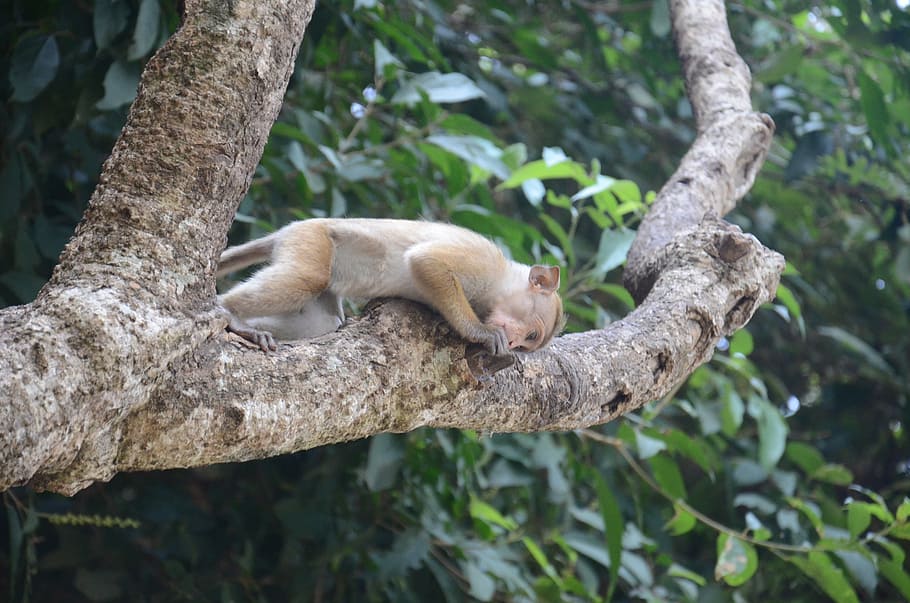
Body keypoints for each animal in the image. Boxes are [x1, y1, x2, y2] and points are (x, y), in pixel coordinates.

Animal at [216, 218, 563, 355]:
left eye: (528, 343)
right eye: (532, 335)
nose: (516, 343)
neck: (501, 285)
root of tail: (289, 228)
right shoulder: (484, 264)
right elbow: (428, 261)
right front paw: (480, 332)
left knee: (325, 320)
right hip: (311, 238)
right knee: (307, 278)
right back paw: (229, 313)